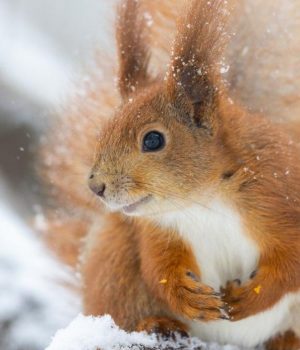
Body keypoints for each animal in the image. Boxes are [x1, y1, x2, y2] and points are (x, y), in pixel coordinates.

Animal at [41, 0, 300, 350]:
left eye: (153, 140)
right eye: (103, 130)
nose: (95, 186)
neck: (203, 202)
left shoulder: (280, 195)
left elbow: (291, 265)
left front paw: (247, 298)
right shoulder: (155, 231)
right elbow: (158, 267)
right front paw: (187, 296)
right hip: (114, 264)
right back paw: (157, 324)